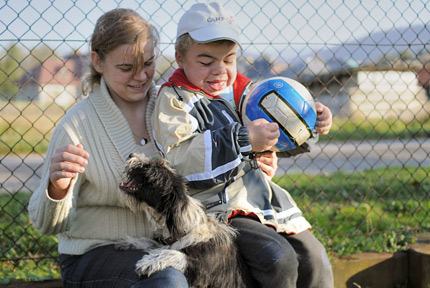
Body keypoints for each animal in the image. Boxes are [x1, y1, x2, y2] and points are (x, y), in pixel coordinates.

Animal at [117, 154, 245, 288]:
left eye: (149, 167)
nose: (131, 155)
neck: (186, 229)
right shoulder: (166, 242)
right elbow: (152, 242)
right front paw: (131, 242)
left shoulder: (204, 273)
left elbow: (180, 256)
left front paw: (150, 261)